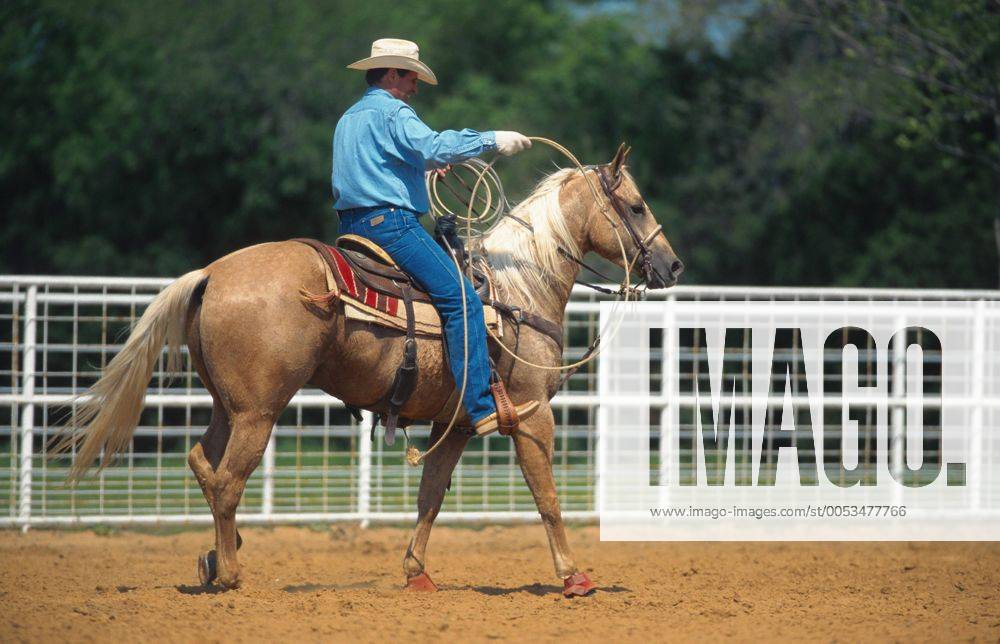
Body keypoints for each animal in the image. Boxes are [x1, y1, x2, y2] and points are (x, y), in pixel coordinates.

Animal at [56, 143, 683, 594]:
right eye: (635, 205)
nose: (673, 264)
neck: (517, 291)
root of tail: (211, 273)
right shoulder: (531, 416)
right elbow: (547, 498)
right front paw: (574, 577)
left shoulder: (456, 424)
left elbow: (431, 496)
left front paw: (416, 574)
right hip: (258, 412)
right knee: (228, 479)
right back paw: (231, 574)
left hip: (227, 408)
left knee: (202, 464)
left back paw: (212, 561)